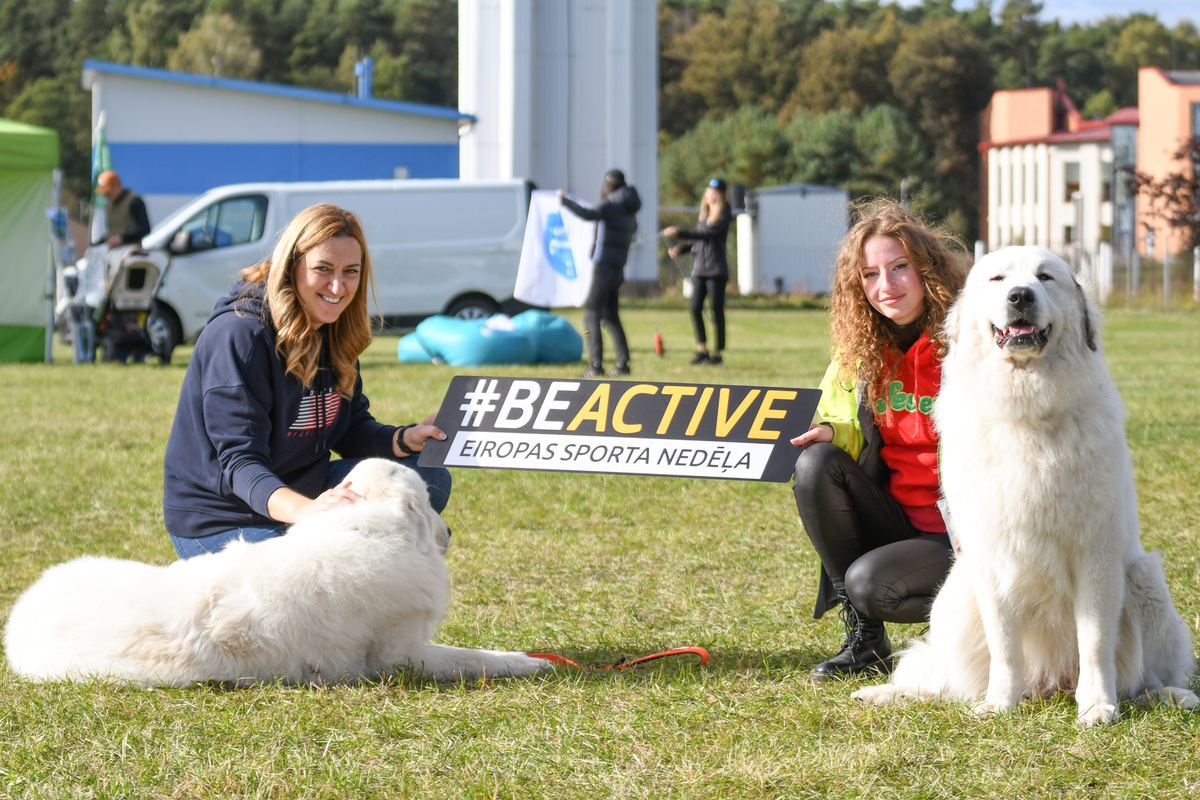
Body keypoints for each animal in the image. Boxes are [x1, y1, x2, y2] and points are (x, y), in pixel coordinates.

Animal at [3, 460, 549, 690]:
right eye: (429, 503)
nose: (450, 531)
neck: (364, 526)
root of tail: (23, 612)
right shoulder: (401, 657)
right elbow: (474, 658)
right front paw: (529, 662)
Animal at [849, 245, 1195, 724]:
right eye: (997, 279)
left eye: (1045, 277)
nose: (1020, 296)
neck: (1026, 410)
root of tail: (1050, 686)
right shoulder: (989, 559)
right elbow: (1003, 644)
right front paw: (1000, 702)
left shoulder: (1096, 555)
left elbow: (1095, 639)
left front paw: (1097, 705)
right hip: (954, 597)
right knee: (945, 683)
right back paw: (890, 693)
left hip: (1145, 581)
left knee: (1149, 676)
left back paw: (1168, 696)